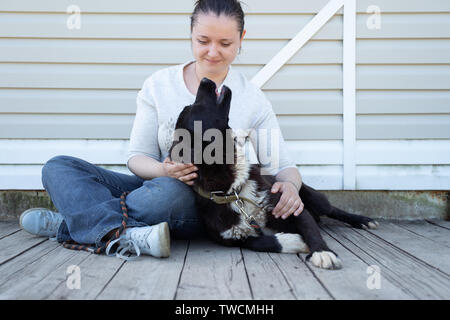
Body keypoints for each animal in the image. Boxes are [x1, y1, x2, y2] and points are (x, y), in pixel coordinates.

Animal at [169, 79, 376, 268]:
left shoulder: (291, 205)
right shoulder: (231, 236)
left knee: (332, 209)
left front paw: (322, 251)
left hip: (311, 196)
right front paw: (293, 241)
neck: (232, 189)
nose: (205, 79)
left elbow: (310, 229)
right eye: (191, 108)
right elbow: (260, 242)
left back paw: (362, 220)